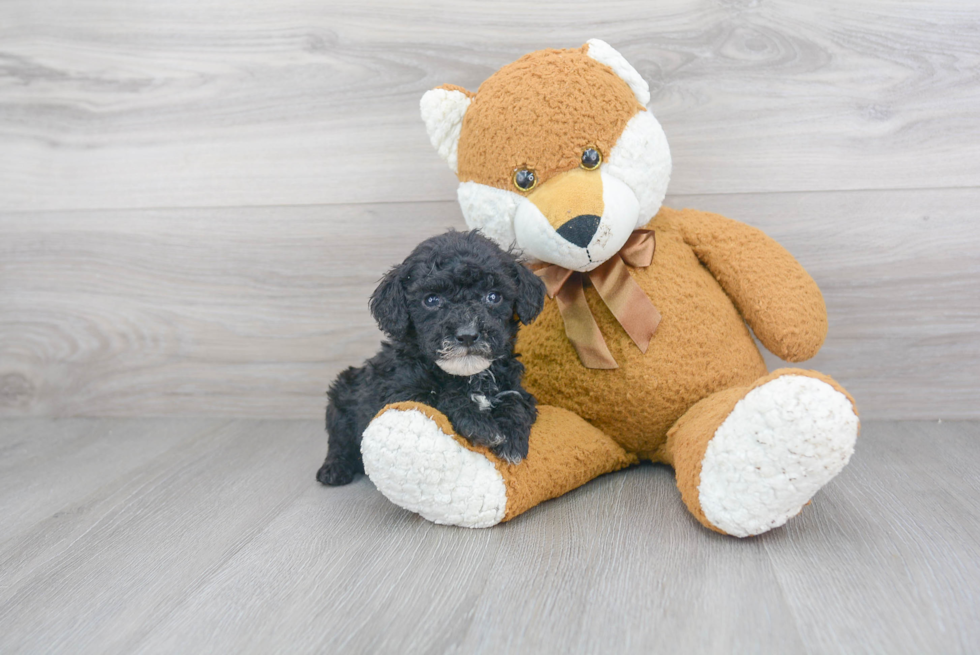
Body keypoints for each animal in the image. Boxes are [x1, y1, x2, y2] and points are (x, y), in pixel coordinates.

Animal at [316, 231, 548, 486]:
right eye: (431, 300)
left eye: (493, 296)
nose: (467, 335)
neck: (469, 376)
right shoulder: (399, 393)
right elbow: (440, 399)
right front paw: (480, 425)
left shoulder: (514, 385)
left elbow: (515, 400)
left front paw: (511, 439)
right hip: (342, 396)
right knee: (338, 440)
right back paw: (334, 469)